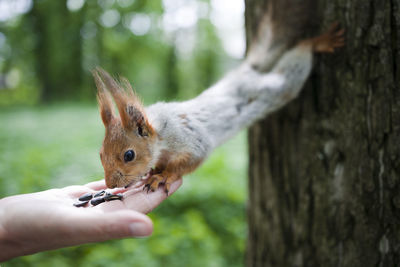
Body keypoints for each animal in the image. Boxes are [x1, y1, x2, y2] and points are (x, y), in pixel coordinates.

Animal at [91, 22, 344, 195]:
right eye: (100, 154)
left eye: (129, 155)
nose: (110, 184)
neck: (162, 133)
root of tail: (242, 73)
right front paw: (156, 170)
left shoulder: (192, 140)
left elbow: (190, 161)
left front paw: (164, 175)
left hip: (278, 87)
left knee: (293, 68)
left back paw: (317, 42)